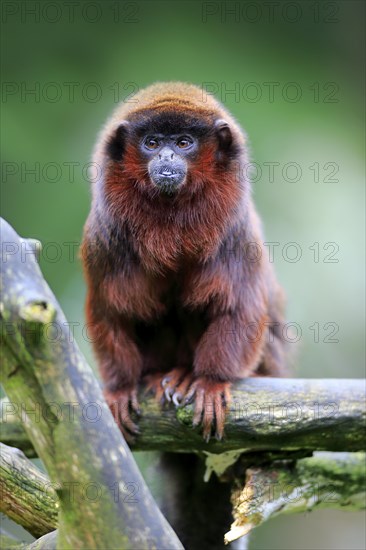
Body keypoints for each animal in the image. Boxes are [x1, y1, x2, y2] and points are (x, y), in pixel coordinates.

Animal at [81, 81, 288, 444]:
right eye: (151, 143)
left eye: (183, 143)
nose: (166, 156)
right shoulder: (104, 239)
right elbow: (110, 311)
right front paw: (120, 388)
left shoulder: (235, 233)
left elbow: (238, 307)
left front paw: (210, 381)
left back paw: (185, 375)